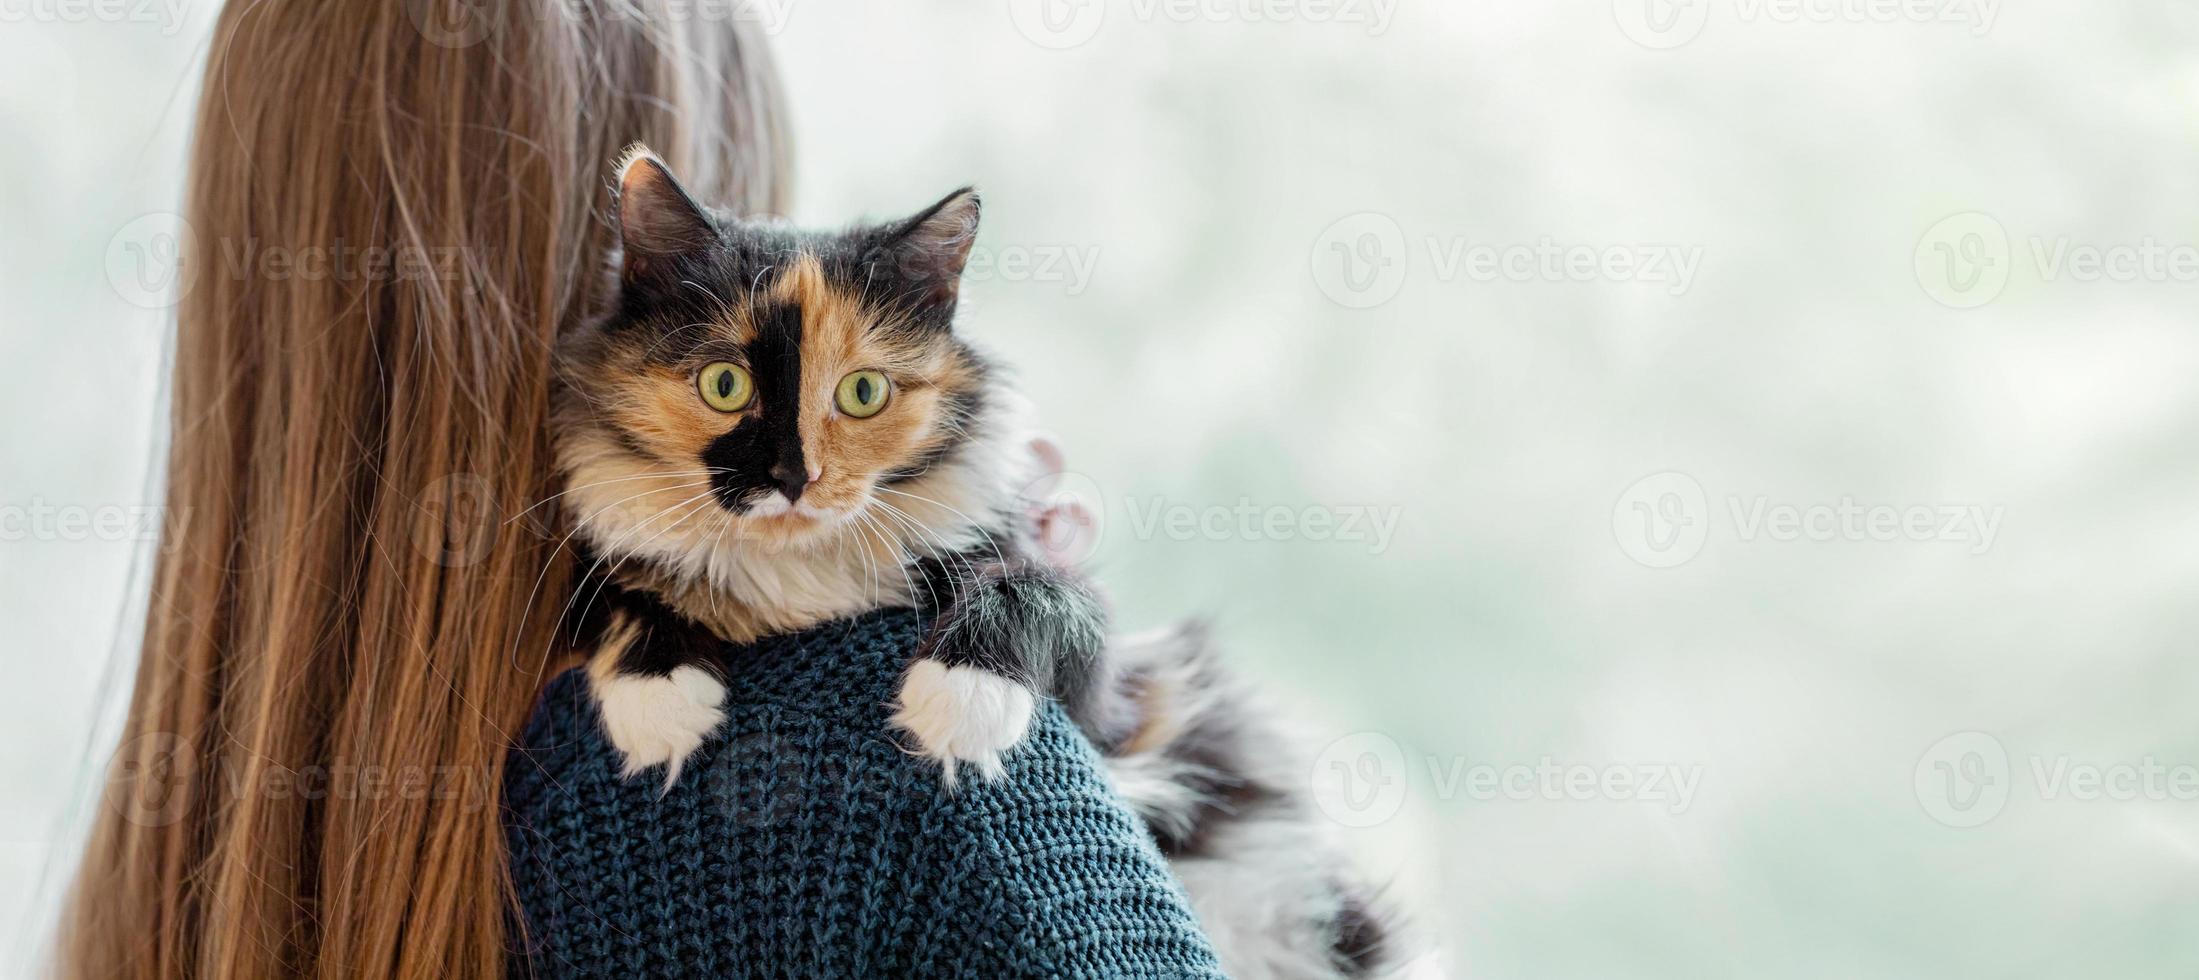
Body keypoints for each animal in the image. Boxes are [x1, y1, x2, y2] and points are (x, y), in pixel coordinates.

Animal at [554, 147, 1407, 980]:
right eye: (724, 384)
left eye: (862, 393)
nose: (794, 477)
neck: (804, 580)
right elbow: (628, 589)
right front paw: (660, 694)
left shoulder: (1103, 698)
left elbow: (1035, 589)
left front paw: (961, 698)